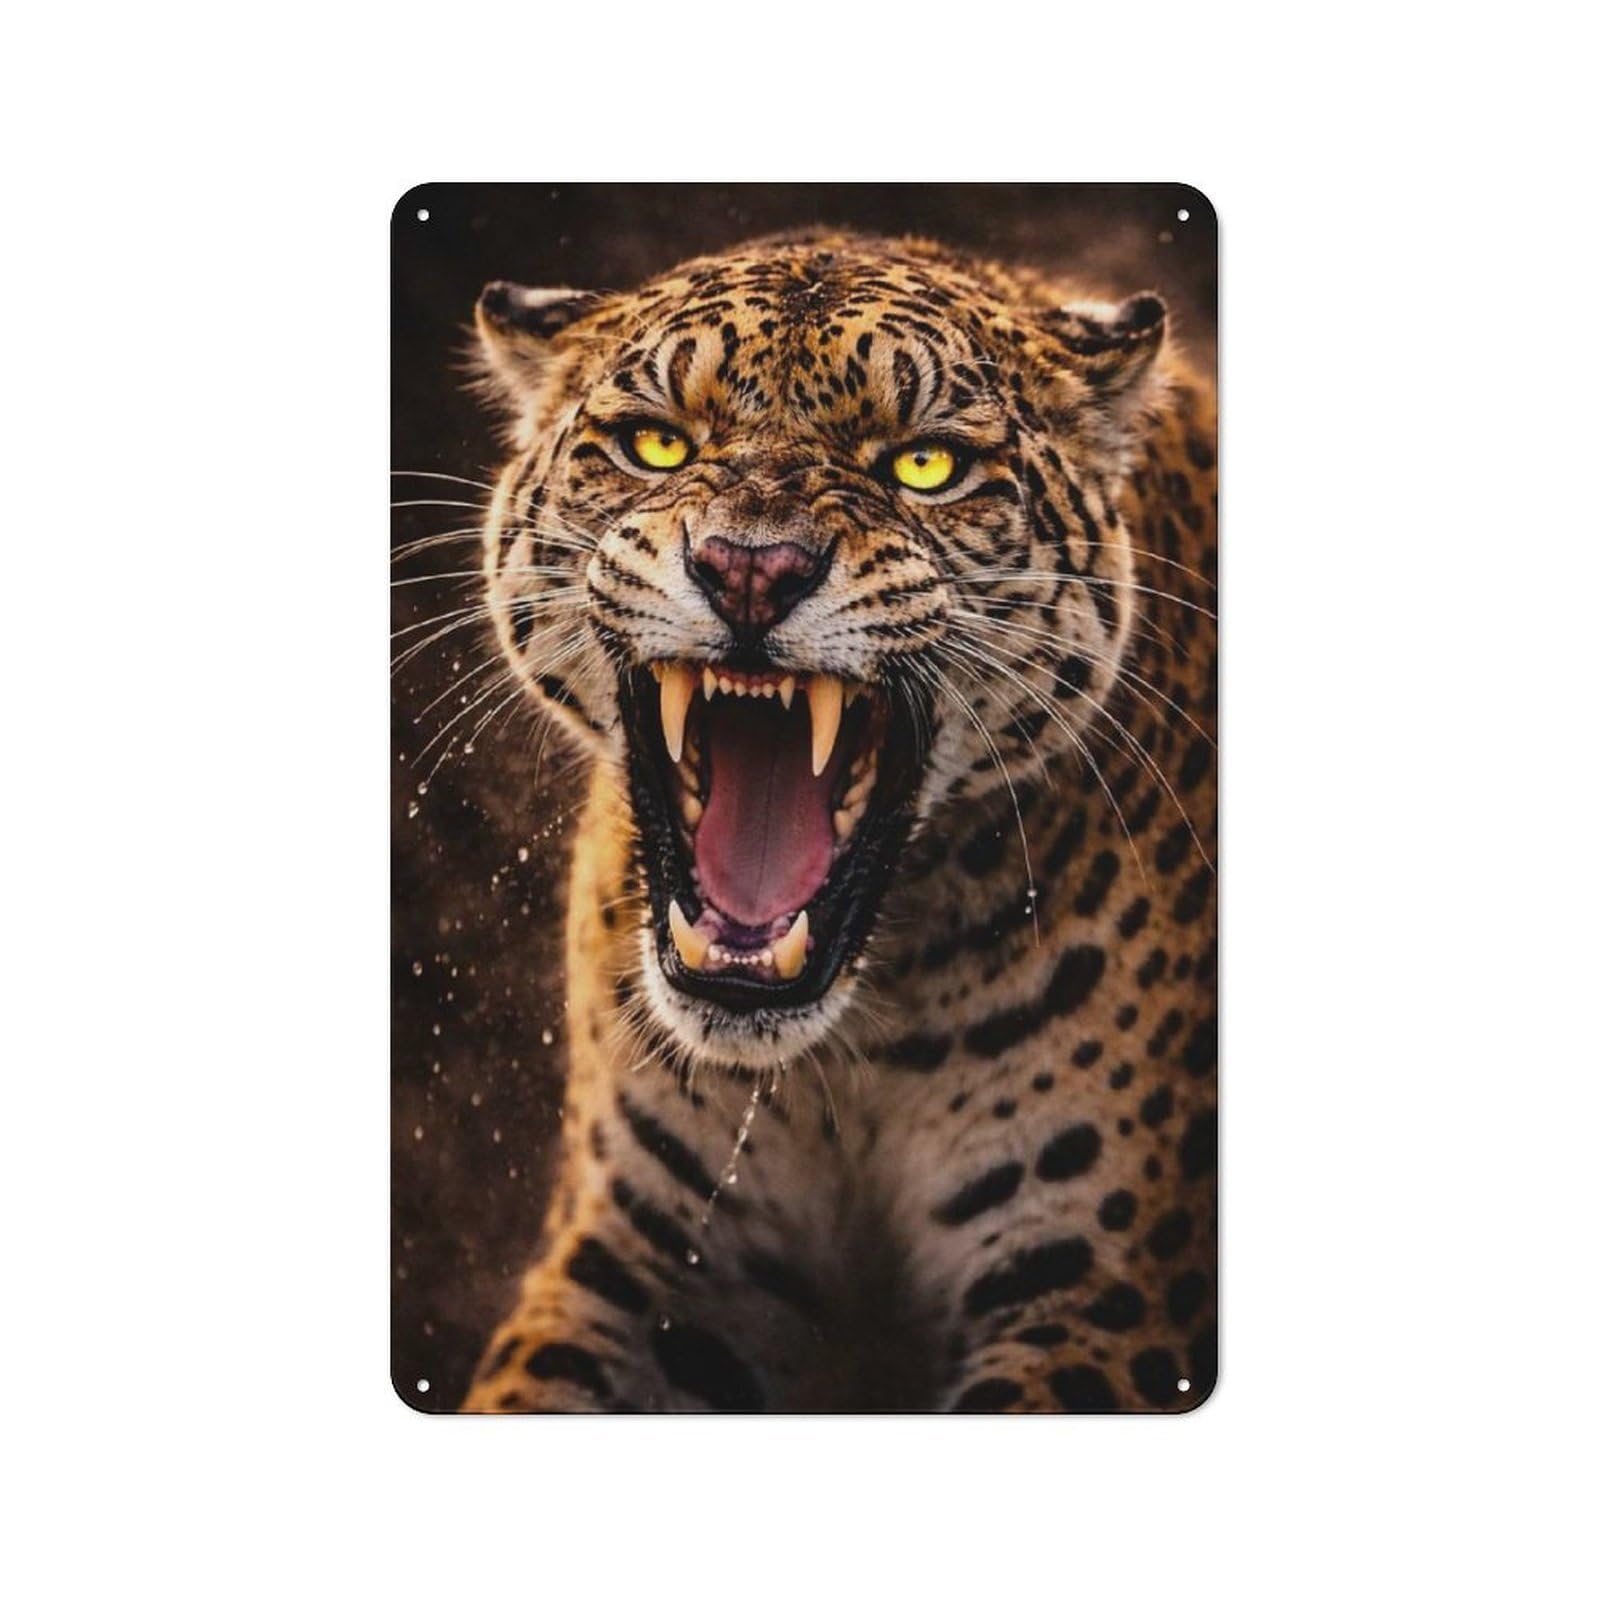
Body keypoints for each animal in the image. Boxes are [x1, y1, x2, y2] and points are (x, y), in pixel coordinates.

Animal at [455, 229, 1217, 1413]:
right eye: (656, 445)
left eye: (924, 466)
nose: (749, 570)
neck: (849, 1061)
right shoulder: (641, 1256)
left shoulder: (1100, 1292)